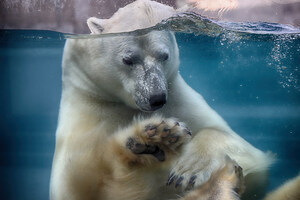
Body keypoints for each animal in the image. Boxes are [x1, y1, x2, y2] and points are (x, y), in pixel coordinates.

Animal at [49, 0, 274, 200]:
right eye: (128, 59)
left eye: (164, 56)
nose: (156, 98)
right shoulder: (87, 112)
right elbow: (78, 179)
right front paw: (152, 136)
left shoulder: (179, 99)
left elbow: (244, 150)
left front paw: (188, 167)